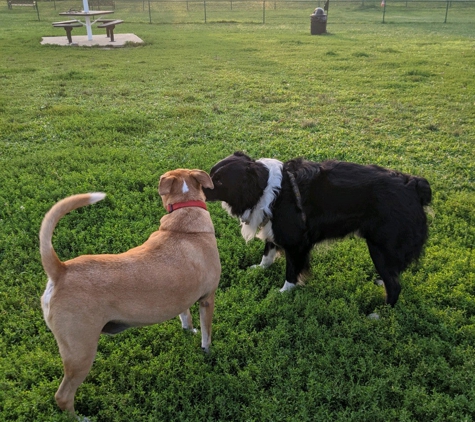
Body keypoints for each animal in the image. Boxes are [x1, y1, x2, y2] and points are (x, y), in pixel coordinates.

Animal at [40, 168, 222, 416]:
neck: (184, 213)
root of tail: (60, 271)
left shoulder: (182, 296)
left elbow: (185, 316)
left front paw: (189, 330)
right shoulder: (207, 299)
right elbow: (207, 333)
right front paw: (207, 351)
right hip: (81, 352)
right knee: (63, 396)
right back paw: (80, 418)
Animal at [203, 152, 434, 306]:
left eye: (219, 181)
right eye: (211, 173)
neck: (267, 188)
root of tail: (415, 184)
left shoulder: (296, 242)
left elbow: (291, 270)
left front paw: (284, 292)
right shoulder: (273, 226)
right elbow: (268, 253)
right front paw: (260, 269)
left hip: (381, 248)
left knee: (395, 285)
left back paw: (380, 314)